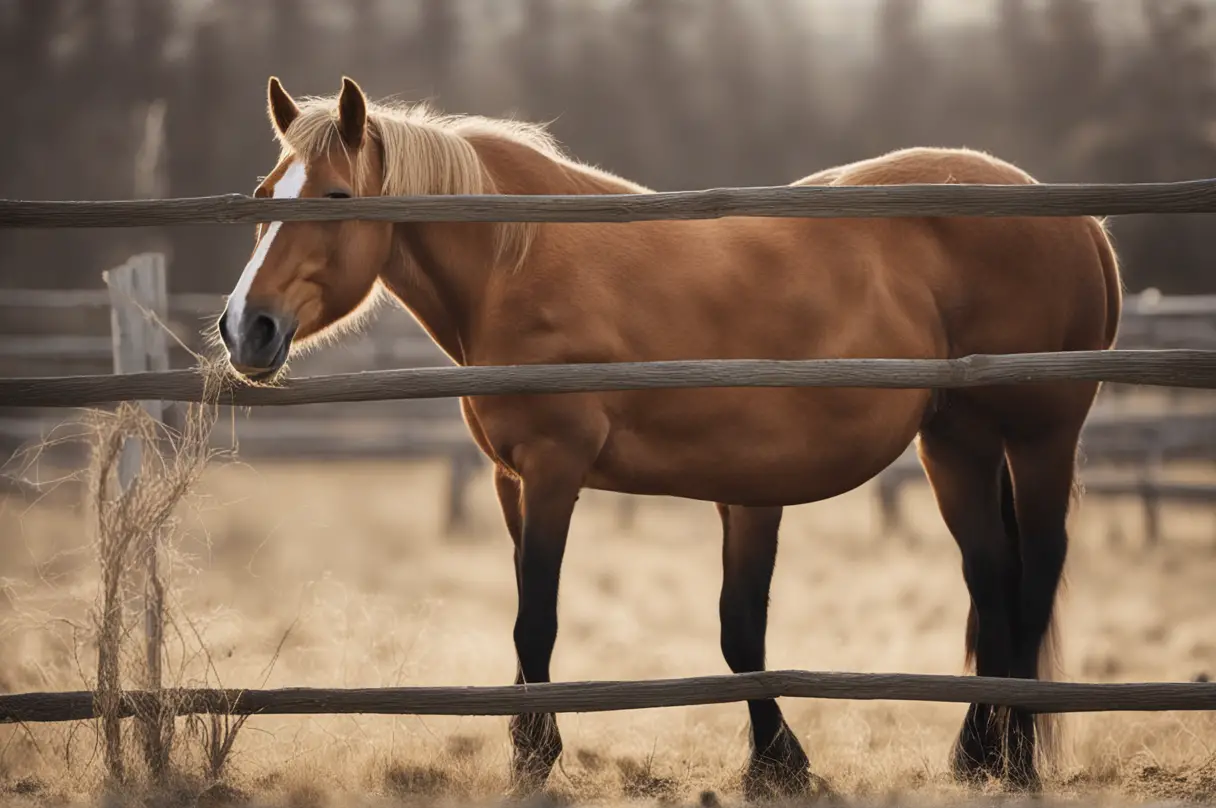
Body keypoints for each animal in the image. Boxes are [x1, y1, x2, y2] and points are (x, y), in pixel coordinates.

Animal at [216, 77, 1118, 803]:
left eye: (336, 196)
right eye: (264, 191)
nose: (245, 327)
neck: (521, 260)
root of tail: (1080, 224)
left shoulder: (555, 472)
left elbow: (540, 622)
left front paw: (536, 761)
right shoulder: (521, 481)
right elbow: (734, 633)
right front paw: (775, 764)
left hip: (1038, 437)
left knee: (1034, 580)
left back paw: (1020, 763)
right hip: (956, 443)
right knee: (992, 582)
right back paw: (978, 756)